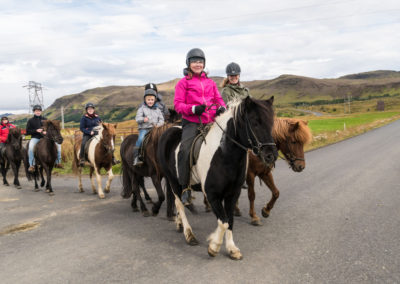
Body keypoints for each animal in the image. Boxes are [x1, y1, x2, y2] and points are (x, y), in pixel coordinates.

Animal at [158, 97, 276, 260]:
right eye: (255, 122)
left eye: (271, 122)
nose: (271, 155)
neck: (224, 154)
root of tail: (169, 130)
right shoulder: (212, 195)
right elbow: (224, 222)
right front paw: (213, 246)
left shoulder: (233, 194)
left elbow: (230, 220)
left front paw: (232, 249)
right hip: (174, 181)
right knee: (180, 204)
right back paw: (189, 235)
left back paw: (180, 225)